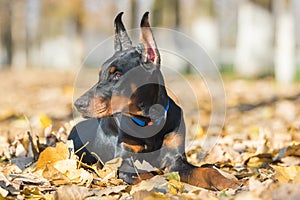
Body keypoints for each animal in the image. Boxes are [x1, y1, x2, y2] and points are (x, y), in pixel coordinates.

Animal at [68, 11, 239, 190]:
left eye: (117, 75)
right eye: (100, 74)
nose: (78, 104)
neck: (149, 121)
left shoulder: (176, 159)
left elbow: (207, 170)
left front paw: (227, 182)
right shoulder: (125, 161)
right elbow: (147, 176)